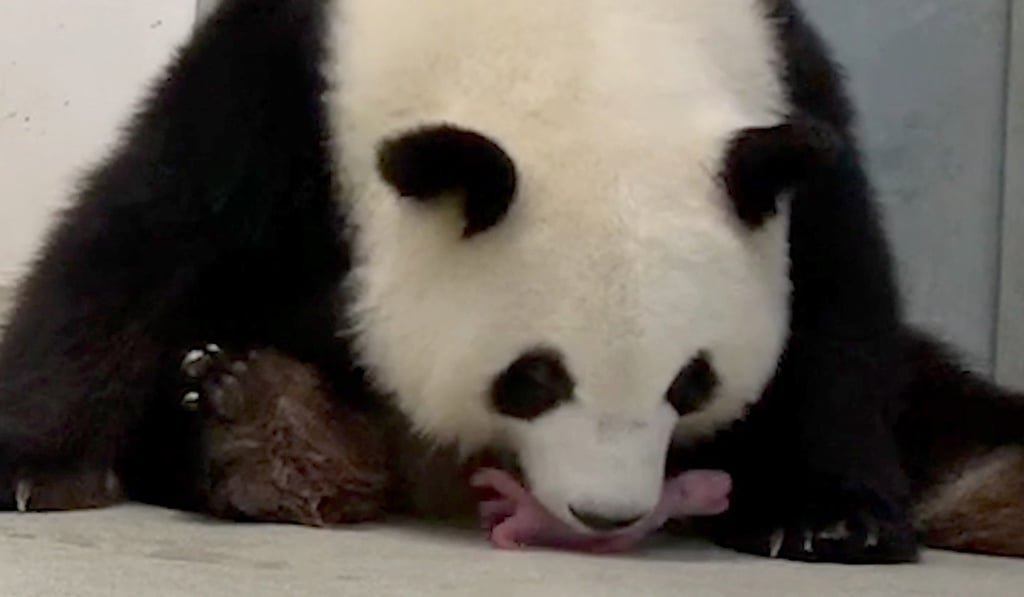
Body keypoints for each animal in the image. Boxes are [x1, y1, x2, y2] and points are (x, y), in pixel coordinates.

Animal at [1, 0, 1023, 564]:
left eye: (692, 382)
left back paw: (990, 485)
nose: (607, 513)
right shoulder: (290, 76)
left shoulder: (790, 92)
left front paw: (829, 518)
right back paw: (259, 428)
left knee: (944, 401)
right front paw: (35, 465)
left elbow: (834, 307)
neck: (579, 42)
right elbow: (145, 236)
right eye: (533, 378)